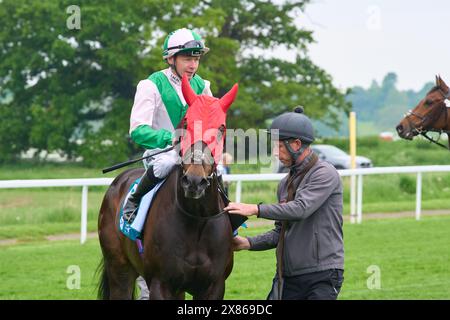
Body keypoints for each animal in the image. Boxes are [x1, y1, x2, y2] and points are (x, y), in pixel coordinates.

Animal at [97, 75, 239, 300]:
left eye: (221, 127)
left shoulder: (214, 285)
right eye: (187, 122)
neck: (197, 219)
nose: (194, 180)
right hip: (119, 268)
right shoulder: (160, 283)